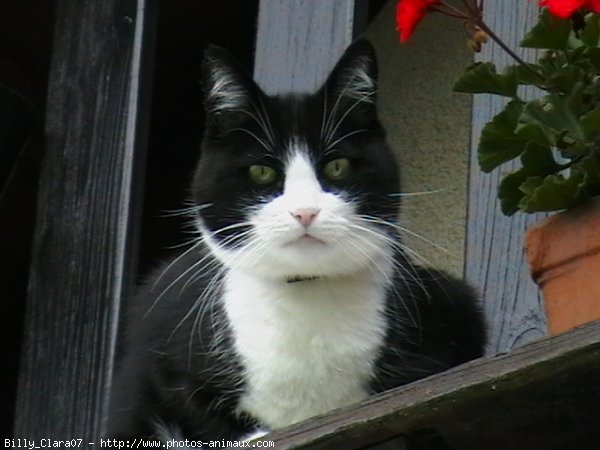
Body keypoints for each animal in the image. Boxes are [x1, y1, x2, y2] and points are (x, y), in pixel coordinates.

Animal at [106, 40, 482, 442]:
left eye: (336, 167)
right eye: (261, 171)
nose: (305, 212)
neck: (304, 298)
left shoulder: (454, 310)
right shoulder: (159, 342)